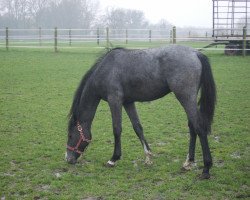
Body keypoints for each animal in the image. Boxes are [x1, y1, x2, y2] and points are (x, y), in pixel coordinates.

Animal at [65, 45, 216, 180]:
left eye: (71, 135)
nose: (68, 159)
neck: (106, 70)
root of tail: (196, 53)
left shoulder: (115, 101)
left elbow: (117, 129)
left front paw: (113, 159)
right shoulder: (128, 102)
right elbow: (137, 127)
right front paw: (148, 157)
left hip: (185, 97)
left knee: (199, 127)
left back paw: (206, 169)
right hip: (187, 99)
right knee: (192, 127)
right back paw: (188, 162)